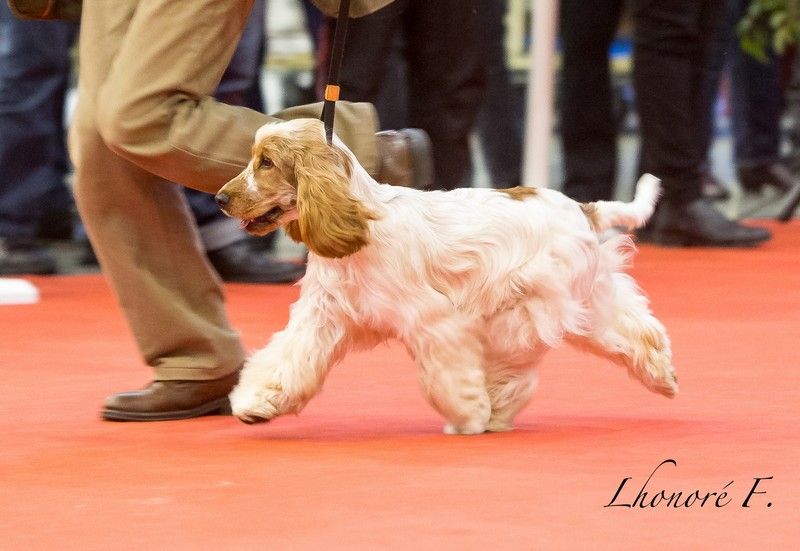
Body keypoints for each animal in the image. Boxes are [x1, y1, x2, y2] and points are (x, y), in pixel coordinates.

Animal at [214, 119, 676, 436]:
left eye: (266, 163)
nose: (219, 198)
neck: (362, 223)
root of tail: (582, 207)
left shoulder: (434, 321)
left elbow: (450, 376)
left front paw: (468, 414)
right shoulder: (322, 317)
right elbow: (285, 360)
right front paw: (255, 403)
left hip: (528, 309)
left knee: (518, 370)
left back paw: (494, 409)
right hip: (586, 298)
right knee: (636, 331)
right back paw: (664, 377)